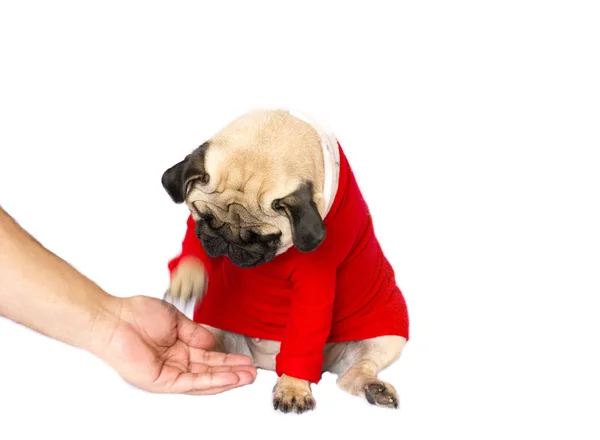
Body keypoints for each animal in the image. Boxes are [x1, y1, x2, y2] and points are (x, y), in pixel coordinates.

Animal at [162, 109, 410, 412]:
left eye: (261, 237)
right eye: (205, 217)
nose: (226, 243)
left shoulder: (315, 285)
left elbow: (302, 340)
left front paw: (293, 387)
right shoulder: (197, 233)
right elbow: (192, 249)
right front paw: (186, 278)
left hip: (387, 336)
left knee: (351, 373)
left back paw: (374, 388)